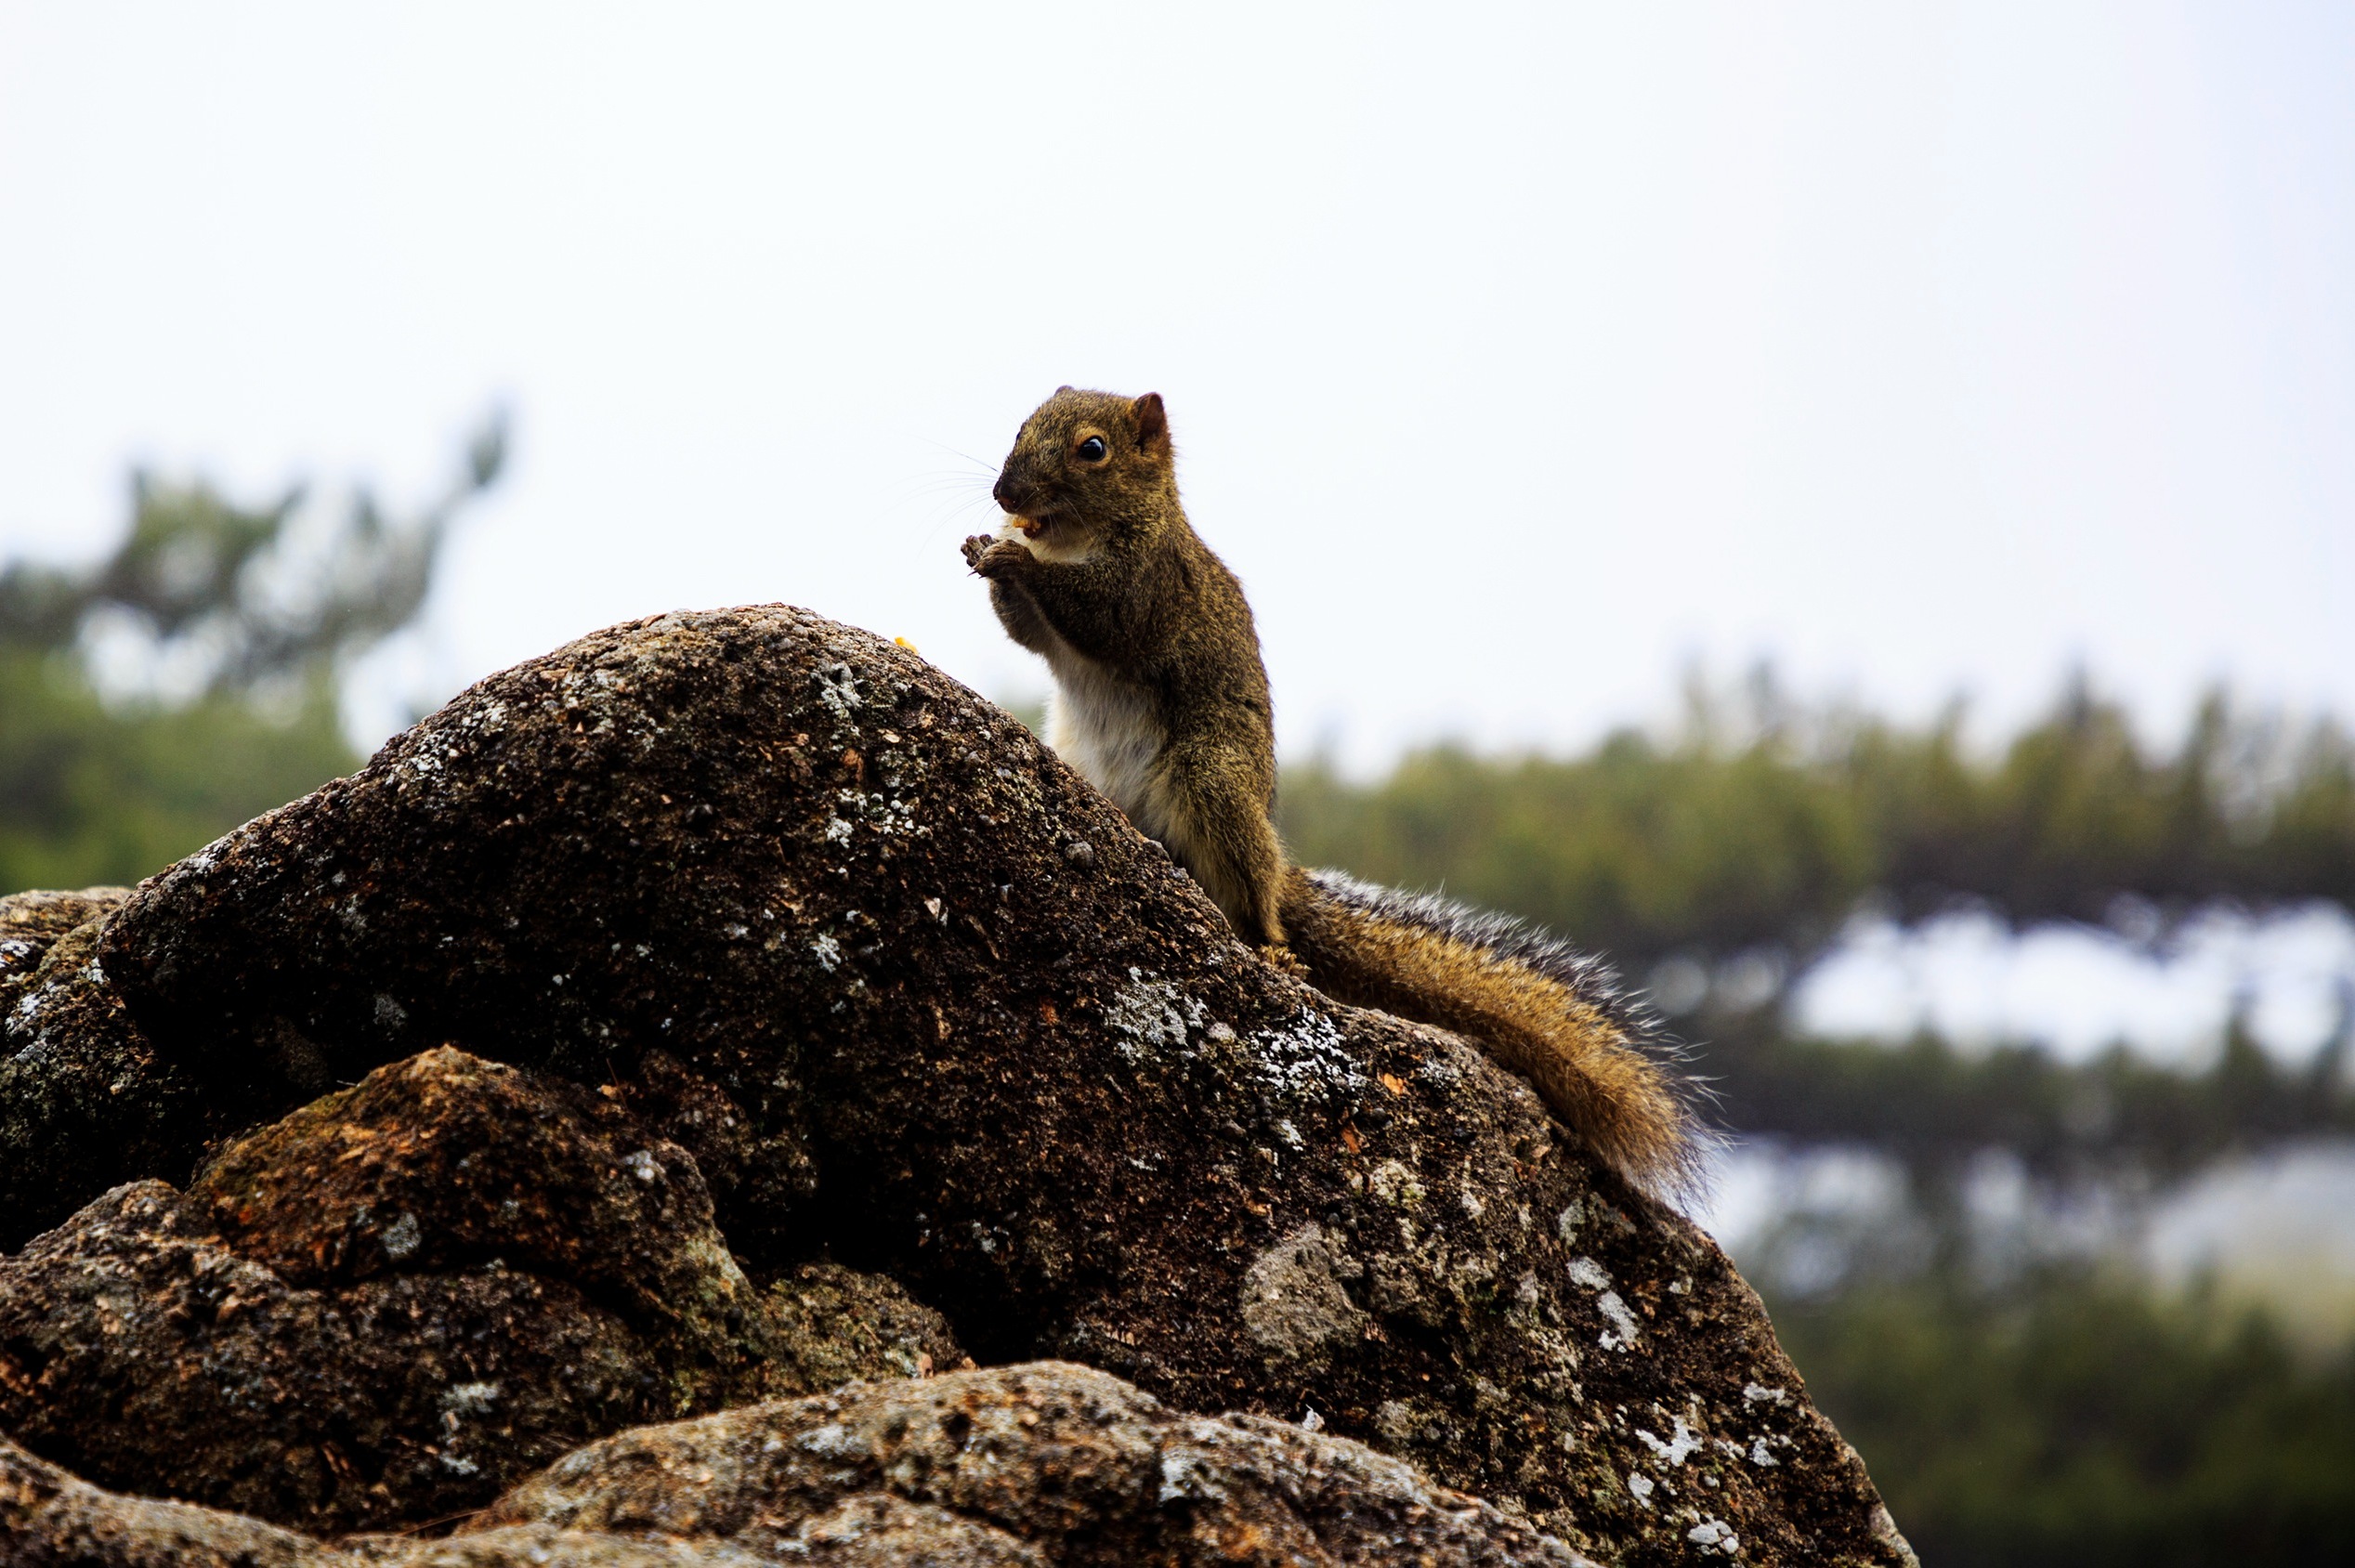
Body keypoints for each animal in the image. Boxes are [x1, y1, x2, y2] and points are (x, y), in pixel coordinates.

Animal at [965, 384, 1705, 1191]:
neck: (1083, 535)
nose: (1003, 494)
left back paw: (1272, 947)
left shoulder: (1150, 587)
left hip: (1212, 780)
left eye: (1092, 450)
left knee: (1254, 900)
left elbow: (1098, 616)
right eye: (1019, 427)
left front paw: (1012, 557)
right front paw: (985, 549)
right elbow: (1030, 635)